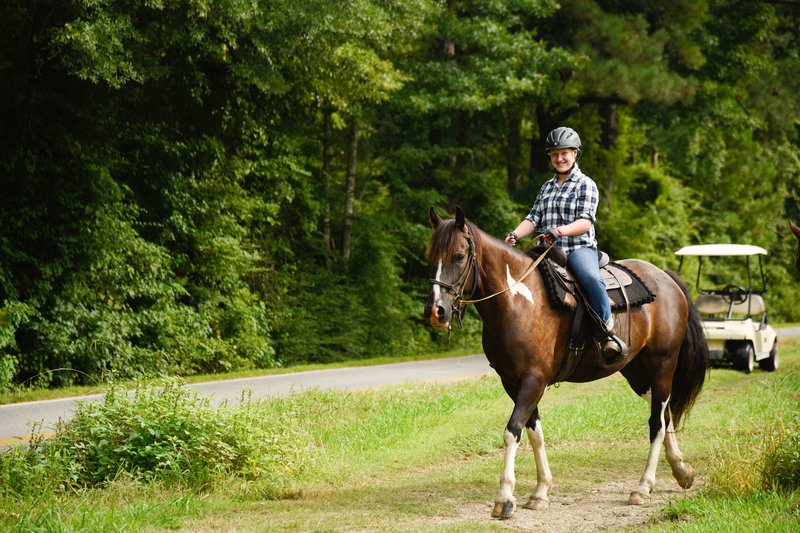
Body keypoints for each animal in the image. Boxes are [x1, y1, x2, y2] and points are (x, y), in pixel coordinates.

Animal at [422, 206, 708, 516]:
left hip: (662, 364)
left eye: (459, 256)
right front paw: (540, 491)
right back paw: (682, 471)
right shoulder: (512, 382)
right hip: (637, 372)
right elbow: (533, 433)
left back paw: (643, 487)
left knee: (657, 421)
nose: (436, 311)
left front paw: (505, 498)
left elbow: (512, 432)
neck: (518, 301)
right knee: (664, 415)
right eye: (431, 257)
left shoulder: (533, 380)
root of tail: (666, 279)